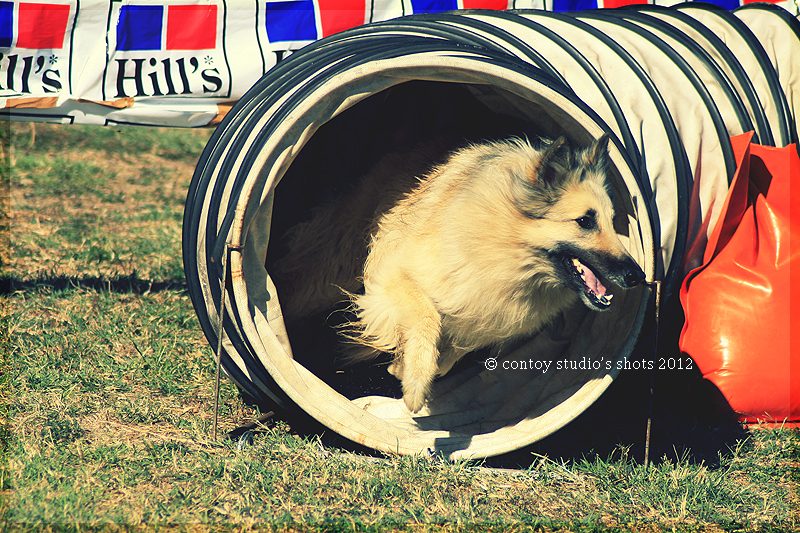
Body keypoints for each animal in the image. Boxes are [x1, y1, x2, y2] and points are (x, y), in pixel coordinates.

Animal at [274, 133, 644, 412]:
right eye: (585, 221)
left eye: (612, 222)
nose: (637, 277)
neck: (504, 243)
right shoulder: (393, 276)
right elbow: (427, 318)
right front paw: (415, 385)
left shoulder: (483, 317)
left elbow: (450, 354)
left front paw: (402, 367)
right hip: (329, 271)